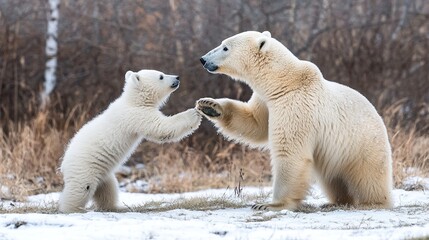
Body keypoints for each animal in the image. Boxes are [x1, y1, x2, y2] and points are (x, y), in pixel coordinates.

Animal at [196, 31, 392, 210]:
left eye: (225, 47)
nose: (203, 59)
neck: (284, 82)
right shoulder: (266, 100)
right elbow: (255, 122)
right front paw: (209, 105)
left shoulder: (296, 106)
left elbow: (289, 151)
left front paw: (270, 205)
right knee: (332, 178)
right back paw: (334, 202)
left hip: (361, 145)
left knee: (367, 176)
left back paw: (373, 202)